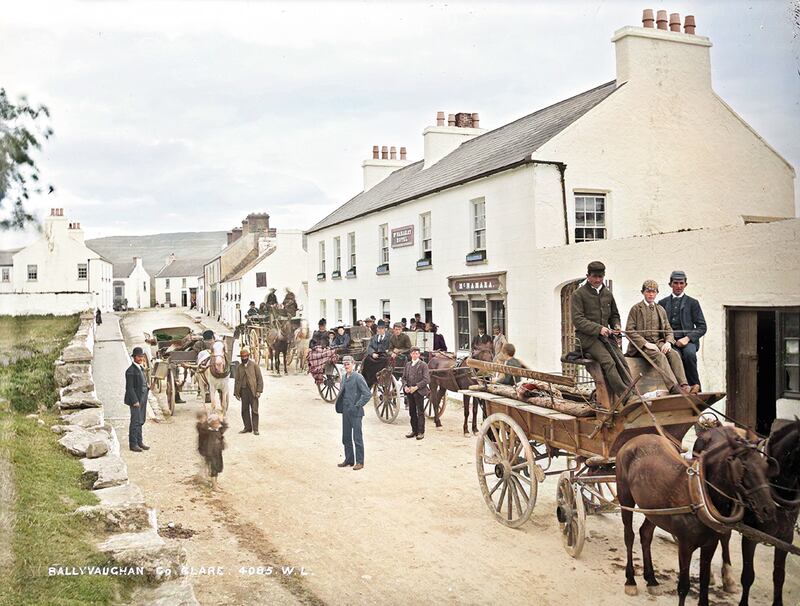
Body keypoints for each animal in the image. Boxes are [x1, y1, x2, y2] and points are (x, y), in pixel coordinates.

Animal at [612, 428, 776, 606]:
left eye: (766, 467)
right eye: (744, 467)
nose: (768, 509)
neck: (700, 495)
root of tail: (634, 440)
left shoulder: (710, 544)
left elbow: (704, 581)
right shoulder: (685, 545)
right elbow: (684, 586)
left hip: (654, 510)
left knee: (645, 534)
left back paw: (652, 580)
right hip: (625, 495)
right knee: (629, 536)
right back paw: (630, 580)